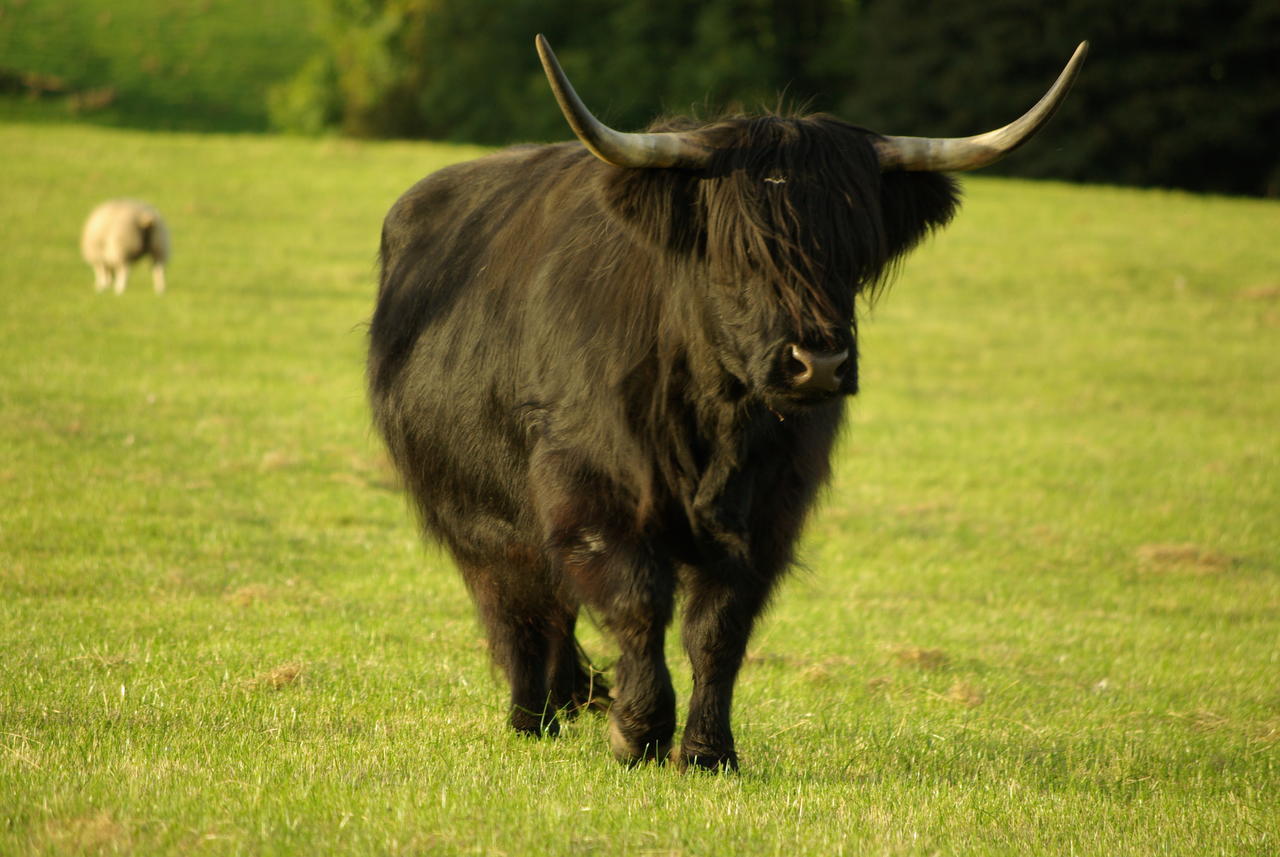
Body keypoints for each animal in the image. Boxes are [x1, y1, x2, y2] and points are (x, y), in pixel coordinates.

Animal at [371, 36, 1090, 772]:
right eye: (742, 251)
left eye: (854, 252)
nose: (818, 364)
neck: (714, 416)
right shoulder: (588, 491)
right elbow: (636, 601)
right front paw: (638, 731)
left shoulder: (768, 512)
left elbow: (719, 628)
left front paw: (707, 750)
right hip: (477, 515)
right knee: (520, 607)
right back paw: (530, 718)